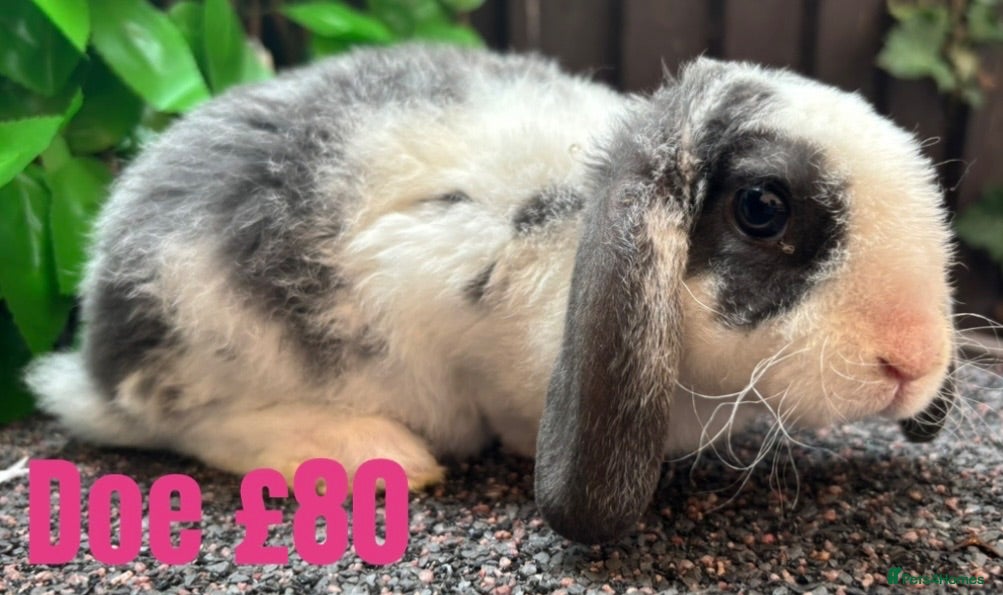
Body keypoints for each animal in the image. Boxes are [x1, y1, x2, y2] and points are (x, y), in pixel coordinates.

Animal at [27, 44, 957, 544]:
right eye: (761, 207)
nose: (913, 361)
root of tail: (97, 347)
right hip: (212, 329)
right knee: (185, 423)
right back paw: (365, 455)